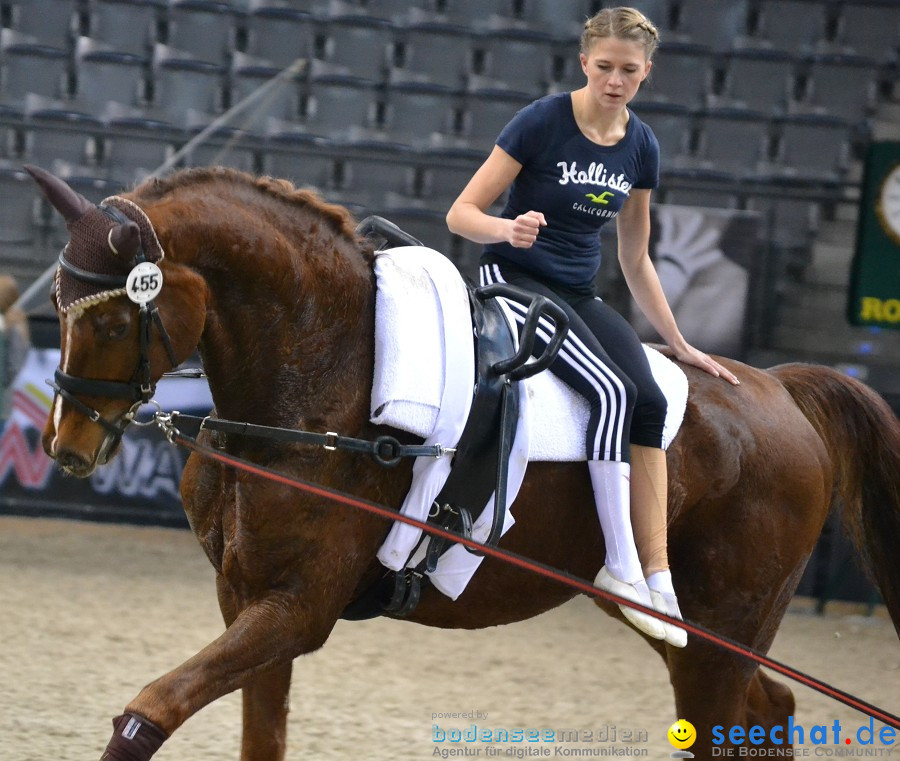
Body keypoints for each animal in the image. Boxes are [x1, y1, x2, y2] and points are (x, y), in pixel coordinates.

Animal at [28, 163, 900, 756]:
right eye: (57, 307)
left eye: (113, 321)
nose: (67, 445)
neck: (319, 379)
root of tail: (778, 388)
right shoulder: (242, 596)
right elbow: (256, 735)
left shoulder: (297, 609)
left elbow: (148, 711)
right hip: (677, 620)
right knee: (769, 708)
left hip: (724, 624)